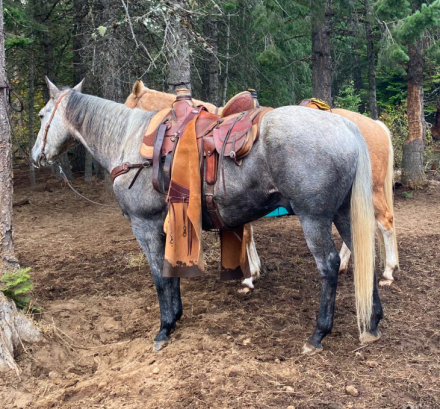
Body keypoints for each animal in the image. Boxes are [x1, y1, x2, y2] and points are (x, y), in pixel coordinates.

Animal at [31, 78, 384, 352]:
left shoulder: (145, 226)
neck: (128, 140)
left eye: (42, 114)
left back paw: (318, 334)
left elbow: (159, 276)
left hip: (314, 217)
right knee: (362, 254)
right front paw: (176, 318)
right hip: (344, 213)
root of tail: (347, 126)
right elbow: (170, 273)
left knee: (329, 265)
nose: (36, 155)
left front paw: (164, 328)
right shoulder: (166, 226)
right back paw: (372, 322)